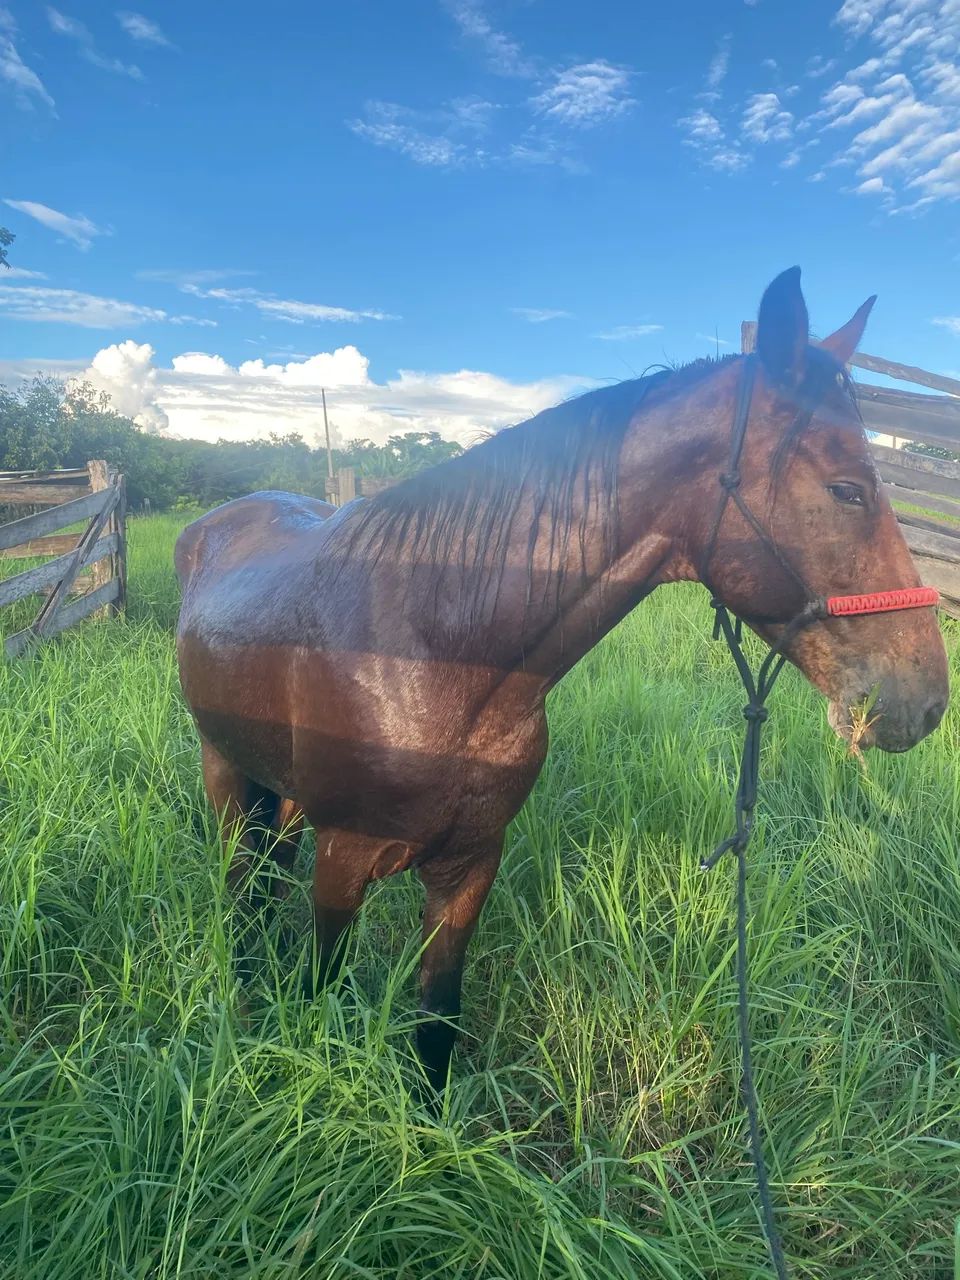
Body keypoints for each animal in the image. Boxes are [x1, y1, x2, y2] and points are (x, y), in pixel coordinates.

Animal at [175, 268, 949, 1092]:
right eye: (848, 490)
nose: (926, 700)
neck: (436, 655)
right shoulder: (343, 863)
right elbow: (319, 987)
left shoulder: (470, 865)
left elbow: (437, 1022)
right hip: (225, 775)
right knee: (239, 888)